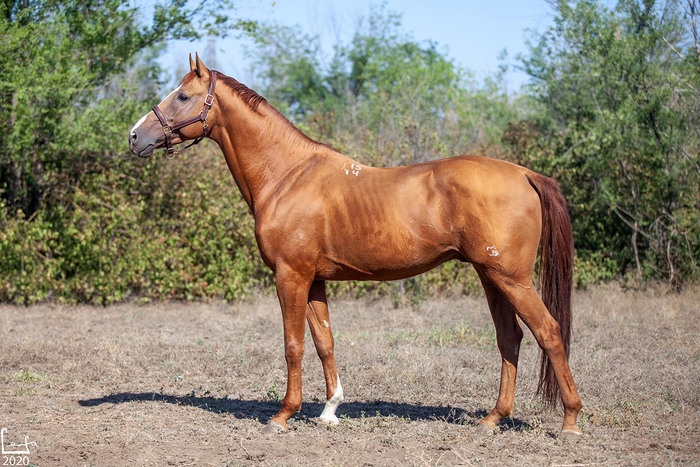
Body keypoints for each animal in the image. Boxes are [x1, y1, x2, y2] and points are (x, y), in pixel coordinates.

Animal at [129, 54, 584, 438]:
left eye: (182, 95)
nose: (135, 136)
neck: (287, 175)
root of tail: (524, 173)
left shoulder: (290, 276)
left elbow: (293, 345)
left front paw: (283, 415)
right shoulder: (314, 281)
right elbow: (324, 342)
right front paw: (330, 409)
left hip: (512, 278)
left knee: (548, 332)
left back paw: (570, 422)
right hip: (491, 277)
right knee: (510, 338)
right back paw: (492, 419)